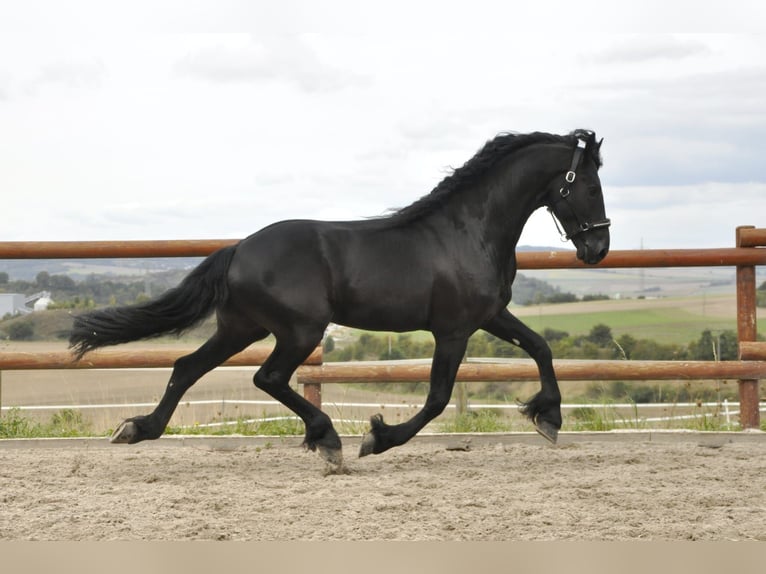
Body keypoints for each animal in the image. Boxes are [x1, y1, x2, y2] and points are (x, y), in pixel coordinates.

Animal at [70, 128, 612, 466]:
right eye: (588, 186)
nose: (598, 248)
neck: (467, 231)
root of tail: (239, 249)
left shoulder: (490, 315)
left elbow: (540, 347)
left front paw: (549, 418)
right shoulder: (454, 329)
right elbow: (437, 398)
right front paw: (377, 439)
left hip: (242, 326)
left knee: (187, 367)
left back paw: (137, 429)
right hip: (299, 330)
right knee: (267, 377)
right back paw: (327, 438)